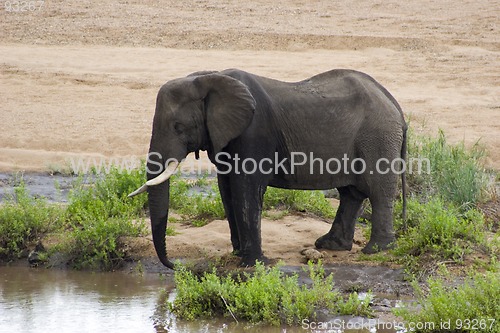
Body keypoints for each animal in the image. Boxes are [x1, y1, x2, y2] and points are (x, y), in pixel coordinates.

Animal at [129, 68, 406, 268]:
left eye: (178, 127)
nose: (174, 265)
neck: (207, 77)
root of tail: (392, 100)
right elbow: (227, 190)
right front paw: (238, 254)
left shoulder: (254, 133)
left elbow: (245, 189)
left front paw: (253, 263)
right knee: (351, 193)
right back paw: (331, 246)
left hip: (378, 137)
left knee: (378, 192)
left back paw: (376, 251)